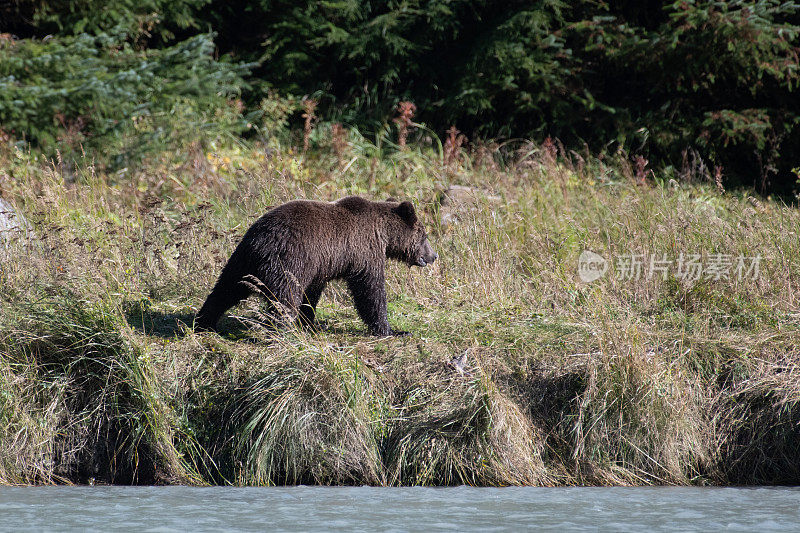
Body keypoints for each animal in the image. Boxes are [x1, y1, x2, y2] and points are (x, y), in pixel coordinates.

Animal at [198, 195, 440, 336]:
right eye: (425, 235)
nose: (434, 255)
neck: (383, 234)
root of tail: (259, 240)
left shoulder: (320, 265)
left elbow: (312, 294)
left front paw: (311, 323)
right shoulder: (363, 252)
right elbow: (370, 290)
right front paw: (391, 329)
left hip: (242, 261)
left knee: (225, 289)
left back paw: (204, 322)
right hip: (288, 260)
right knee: (284, 297)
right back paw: (282, 331)